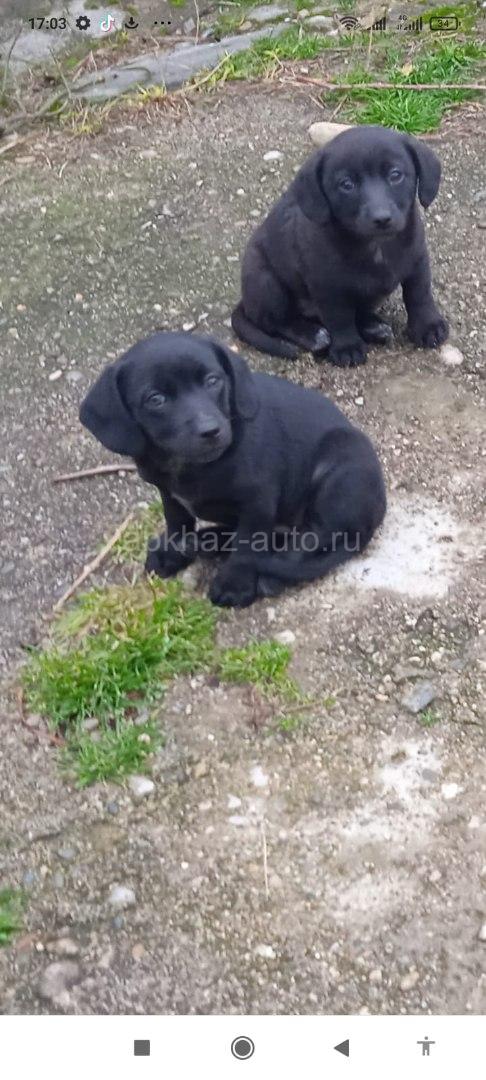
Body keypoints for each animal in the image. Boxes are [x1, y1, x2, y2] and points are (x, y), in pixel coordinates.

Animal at [79, 332, 386, 608]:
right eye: (156, 399)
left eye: (212, 381)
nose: (211, 431)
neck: (193, 466)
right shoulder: (167, 492)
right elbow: (177, 522)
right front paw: (174, 552)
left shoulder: (258, 502)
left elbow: (247, 546)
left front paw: (234, 585)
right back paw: (208, 540)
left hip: (341, 468)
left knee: (311, 537)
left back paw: (271, 575)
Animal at [231, 125, 448, 366]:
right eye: (346, 184)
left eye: (395, 175)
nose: (381, 218)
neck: (376, 245)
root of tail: (245, 301)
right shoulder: (327, 285)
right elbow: (339, 318)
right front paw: (347, 347)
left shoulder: (418, 261)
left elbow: (420, 296)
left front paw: (428, 326)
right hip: (266, 281)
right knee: (277, 322)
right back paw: (313, 336)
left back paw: (373, 327)